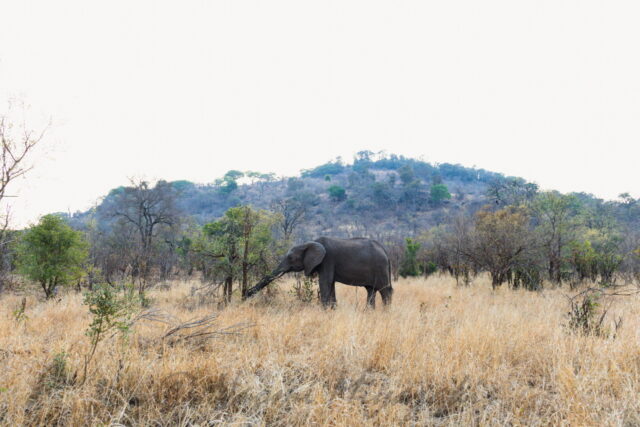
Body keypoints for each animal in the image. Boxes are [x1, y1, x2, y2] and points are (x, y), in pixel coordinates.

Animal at [247, 237, 393, 308]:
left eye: (290, 258)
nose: (245, 294)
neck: (309, 243)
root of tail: (385, 251)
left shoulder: (327, 260)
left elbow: (325, 282)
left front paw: (324, 311)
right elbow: (330, 284)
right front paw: (332, 310)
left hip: (380, 267)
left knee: (385, 290)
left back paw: (386, 313)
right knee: (371, 290)